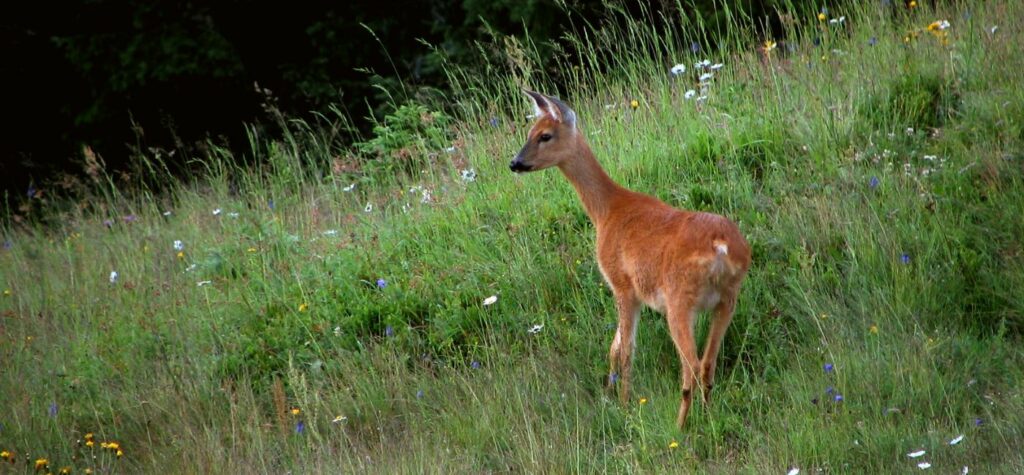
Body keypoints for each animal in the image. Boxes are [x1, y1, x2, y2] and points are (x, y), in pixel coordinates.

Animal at [512, 91, 753, 427]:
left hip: (679, 300)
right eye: (529, 132)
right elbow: (614, 347)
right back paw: (708, 415)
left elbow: (626, 349)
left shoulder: (622, 283)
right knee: (708, 362)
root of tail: (721, 246)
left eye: (545, 135)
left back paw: (679, 425)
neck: (607, 212)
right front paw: (611, 394)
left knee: (691, 364)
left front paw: (625, 404)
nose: (515, 163)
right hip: (728, 297)